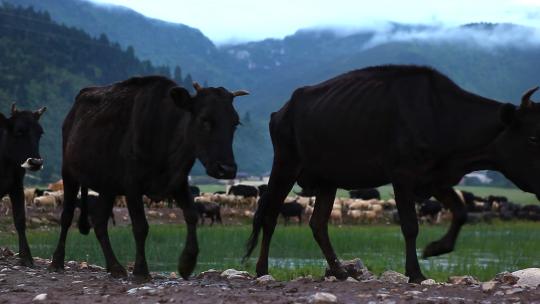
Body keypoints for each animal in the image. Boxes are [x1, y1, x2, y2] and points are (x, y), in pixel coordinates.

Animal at [0, 104, 46, 266]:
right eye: (19, 131)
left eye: (40, 133)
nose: (36, 162)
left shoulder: (17, 187)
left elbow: (20, 219)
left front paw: (26, 257)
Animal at [48, 76, 247, 280]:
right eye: (204, 119)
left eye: (235, 123)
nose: (227, 169)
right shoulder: (132, 186)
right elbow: (140, 226)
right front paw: (141, 270)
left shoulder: (178, 181)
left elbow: (191, 215)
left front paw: (187, 263)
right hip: (69, 173)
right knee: (67, 216)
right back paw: (57, 262)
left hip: (107, 187)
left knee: (99, 222)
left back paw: (115, 267)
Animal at [247, 65, 540, 284]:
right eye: (532, 138)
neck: (440, 114)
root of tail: (281, 110)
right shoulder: (403, 176)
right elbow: (410, 225)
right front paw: (416, 273)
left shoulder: (435, 178)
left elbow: (460, 212)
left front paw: (435, 248)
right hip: (285, 164)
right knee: (270, 215)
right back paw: (262, 270)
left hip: (327, 180)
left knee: (318, 224)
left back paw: (340, 271)